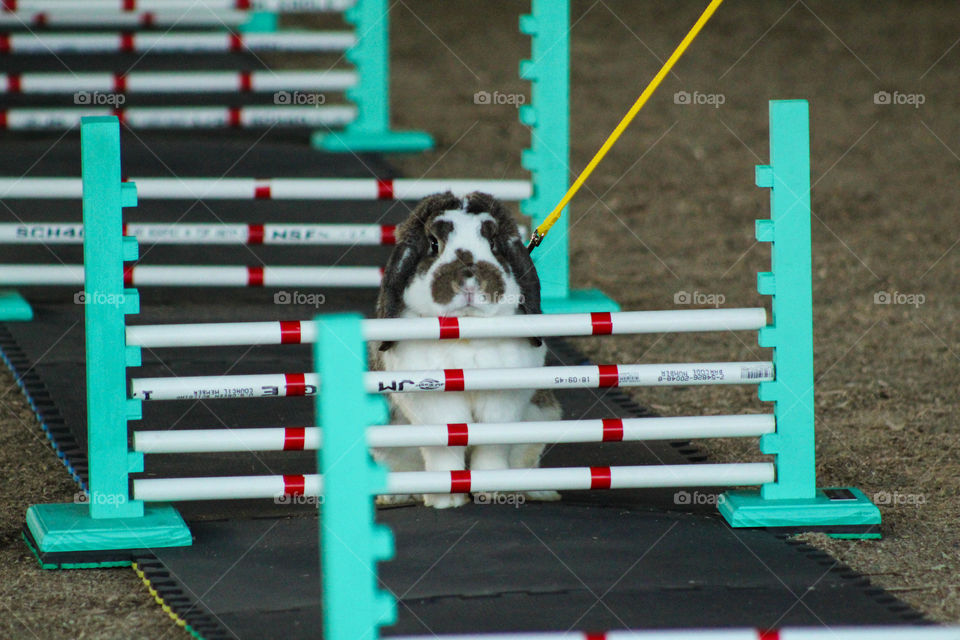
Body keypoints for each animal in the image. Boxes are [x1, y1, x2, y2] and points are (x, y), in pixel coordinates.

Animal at [370, 191, 564, 510]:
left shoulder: (503, 405)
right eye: (433, 243)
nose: (470, 280)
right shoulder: (435, 408)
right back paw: (395, 496)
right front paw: (446, 500)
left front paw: (493, 492)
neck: (466, 333)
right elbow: (445, 450)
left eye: (494, 243)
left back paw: (540, 491)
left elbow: (491, 447)